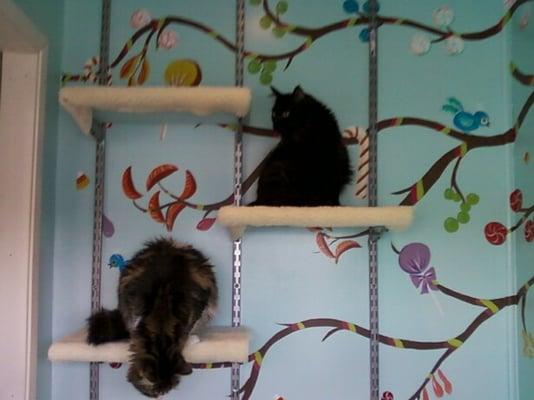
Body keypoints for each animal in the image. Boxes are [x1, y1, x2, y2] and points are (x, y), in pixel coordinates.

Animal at [86, 238, 218, 396]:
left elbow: (189, 328)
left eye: (165, 391)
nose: (158, 397)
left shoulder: (199, 305)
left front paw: (191, 339)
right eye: (155, 392)